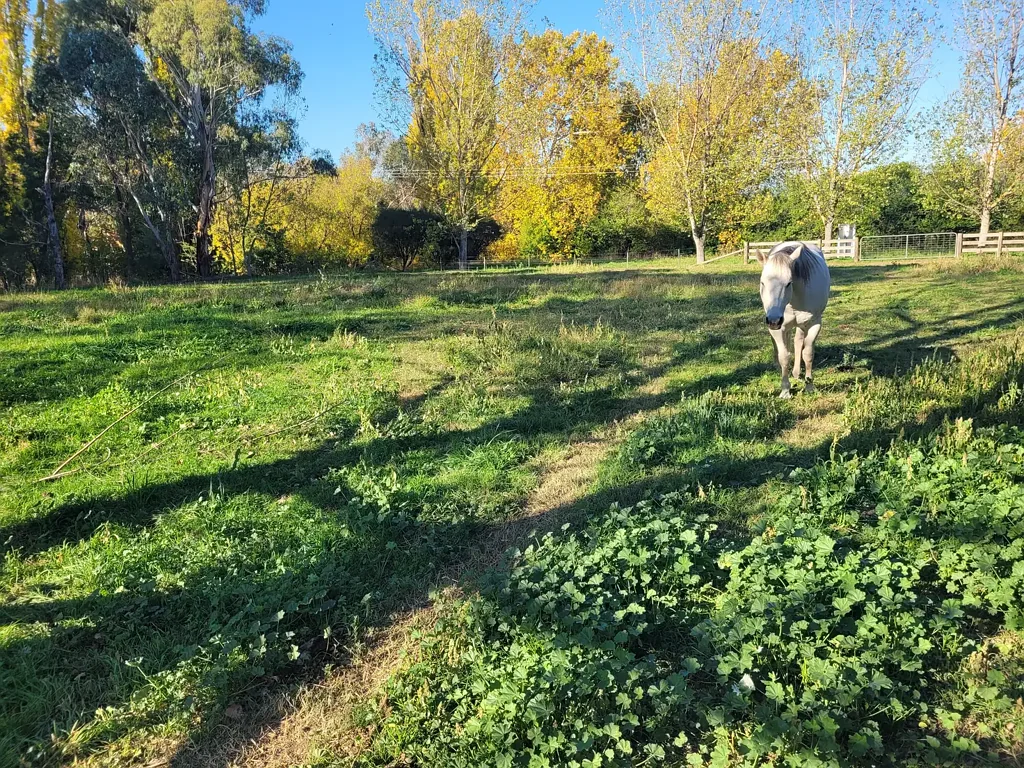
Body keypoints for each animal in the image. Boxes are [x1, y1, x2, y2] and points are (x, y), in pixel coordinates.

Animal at [755, 241, 831, 399]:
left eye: (789, 283)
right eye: (762, 283)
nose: (774, 321)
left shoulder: (814, 324)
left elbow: (808, 353)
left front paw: (809, 386)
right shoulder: (779, 328)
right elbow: (784, 356)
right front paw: (785, 391)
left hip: (801, 325)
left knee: (798, 342)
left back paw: (796, 373)